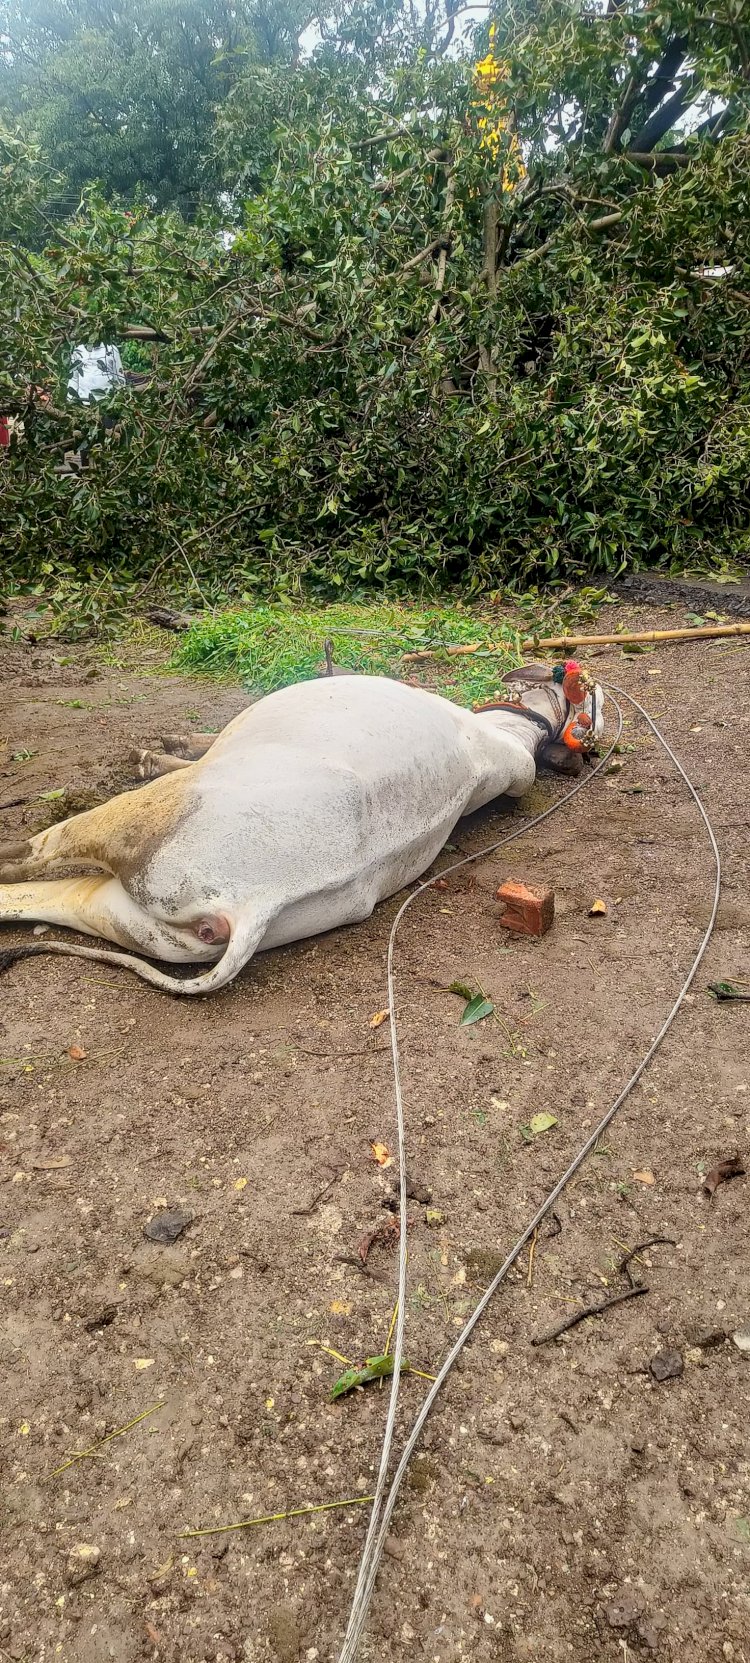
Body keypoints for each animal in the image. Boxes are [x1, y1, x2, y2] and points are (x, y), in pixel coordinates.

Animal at [0, 665, 601, 997]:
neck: (504, 736)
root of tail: (252, 903)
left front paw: (153, 752)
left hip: (141, 821)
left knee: (36, 850)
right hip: (130, 920)